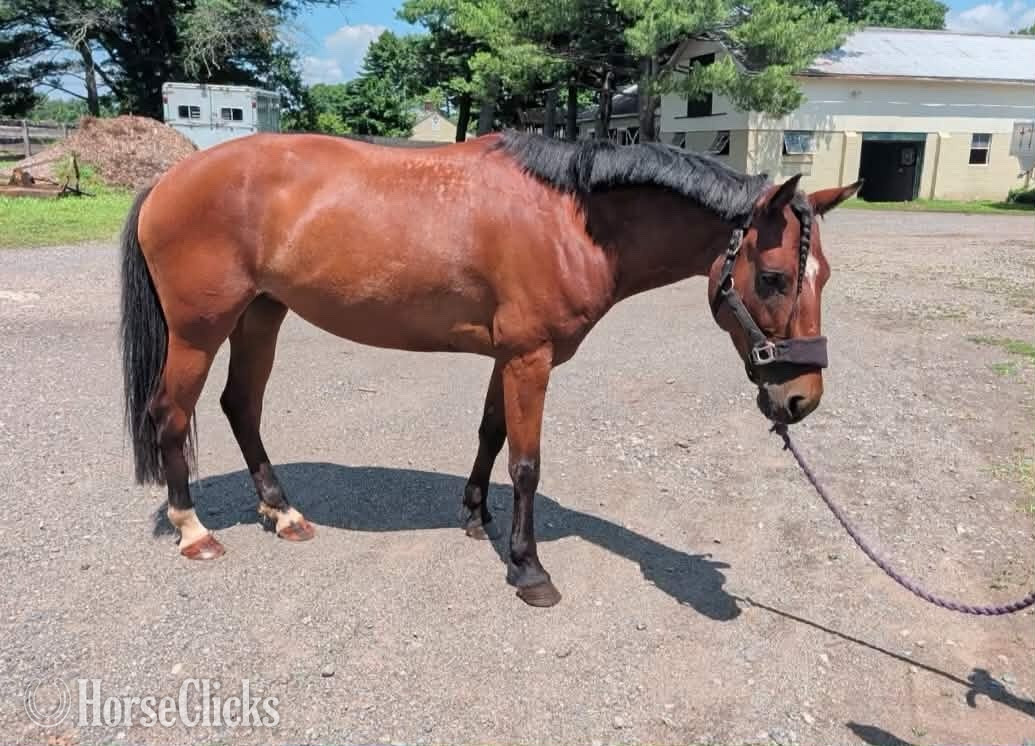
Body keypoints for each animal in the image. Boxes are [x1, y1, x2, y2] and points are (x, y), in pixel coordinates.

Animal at [120, 131, 860, 607]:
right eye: (772, 278)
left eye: (824, 276)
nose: (801, 398)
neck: (572, 221)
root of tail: (168, 179)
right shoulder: (531, 357)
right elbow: (526, 463)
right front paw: (528, 569)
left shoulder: (508, 356)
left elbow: (489, 433)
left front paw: (476, 515)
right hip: (200, 329)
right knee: (171, 415)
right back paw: (194, 531)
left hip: (261, 314)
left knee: (241, 406)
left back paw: (282, 512)